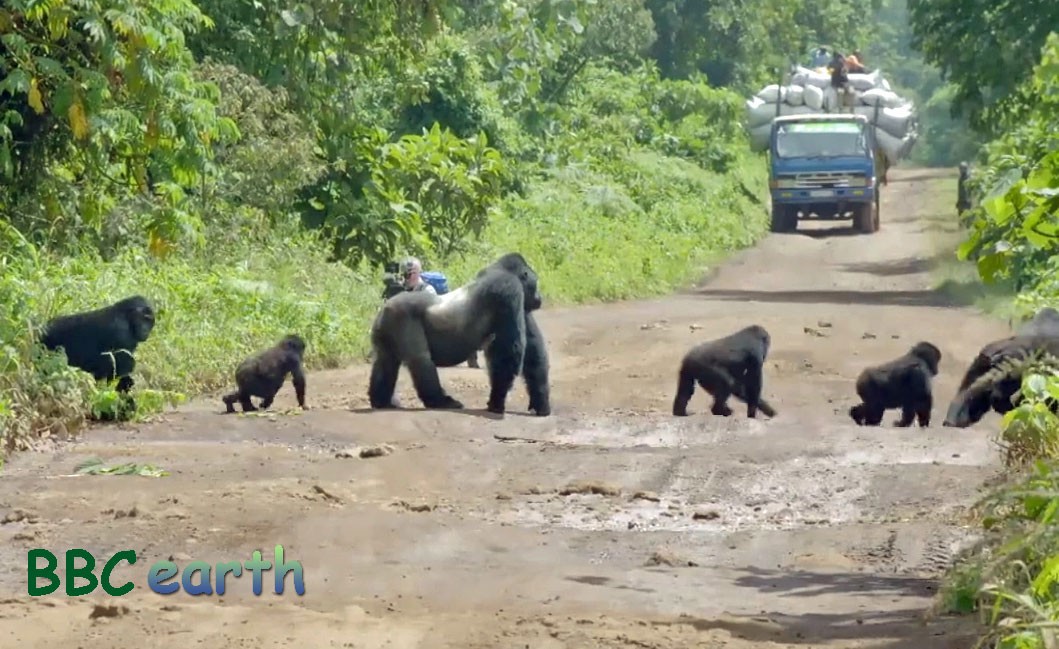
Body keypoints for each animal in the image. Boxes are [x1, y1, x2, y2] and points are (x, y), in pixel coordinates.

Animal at [368, 251, 550, 415]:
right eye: (536, 283)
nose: (539, 298)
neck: (503, 270)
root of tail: (384, 308)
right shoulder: (509, 289)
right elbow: (510, 350)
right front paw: (496, 401)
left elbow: (532, 353)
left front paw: (540, 402)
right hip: (400, 316)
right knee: (421, 360)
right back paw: (440, 401)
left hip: (384, 326)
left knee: (385, 361)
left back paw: (381, 401)